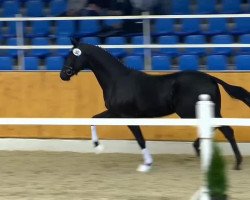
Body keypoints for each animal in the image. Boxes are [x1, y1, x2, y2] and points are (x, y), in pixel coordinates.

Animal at [61, 38, 250, 171]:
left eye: (72, 55)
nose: (63, 74)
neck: (117, 80)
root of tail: (210, 78)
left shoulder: (128, 116)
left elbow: (140, 139)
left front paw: (146, 164)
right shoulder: (115, 112)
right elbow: (93, 118)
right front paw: (97, 147)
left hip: (190, 111)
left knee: (225, 129)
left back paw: (236, 162)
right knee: (218, 127)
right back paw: (200, 149)